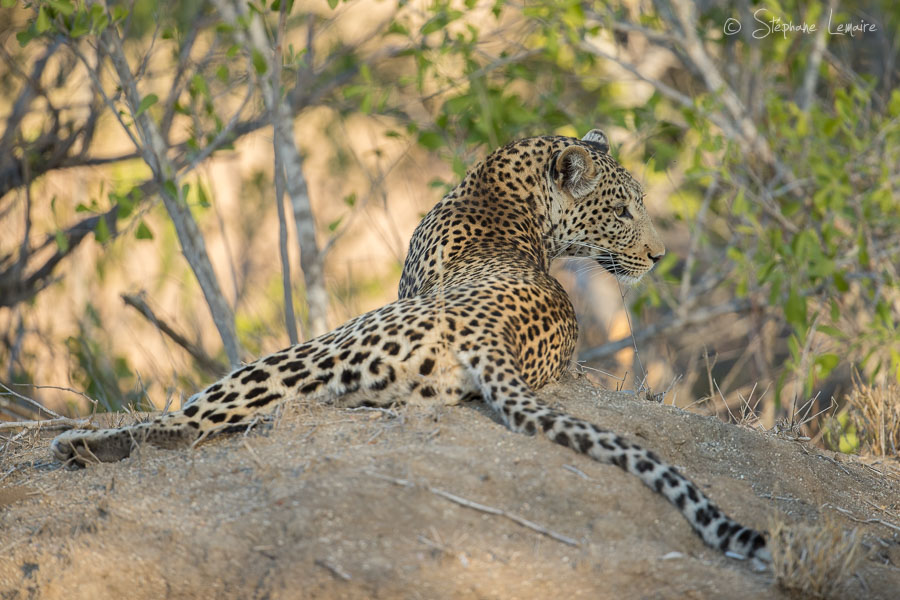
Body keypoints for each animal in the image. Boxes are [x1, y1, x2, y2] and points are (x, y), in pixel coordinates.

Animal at [51, 129, 770, 563]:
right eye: (622, 211)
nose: (658, 255)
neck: (510, 198)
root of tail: (494, 337)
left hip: (314, 348)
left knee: (186, 426)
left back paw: (81, 443)